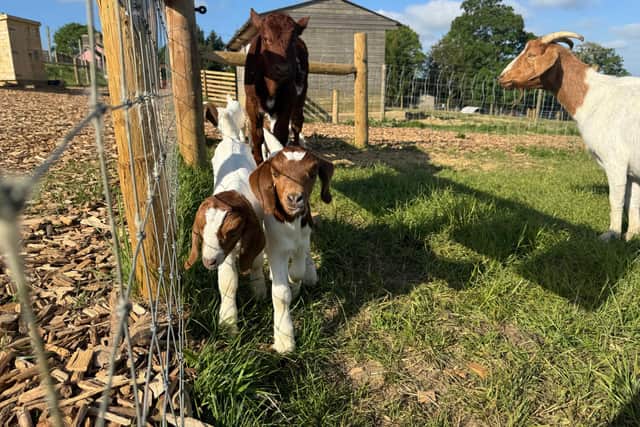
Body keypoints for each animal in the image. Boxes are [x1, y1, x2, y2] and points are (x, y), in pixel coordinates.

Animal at [185, 98, 266, 332]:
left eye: (232, 231)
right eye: (201, 232)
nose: (208, 261)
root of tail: (231, 138)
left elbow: (256, 261)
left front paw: (259, 291)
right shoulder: (225, 254)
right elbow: (228, 281)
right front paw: (228, 323)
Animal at [244, 8, 310, 165]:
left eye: (292, 40)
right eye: (266, 38)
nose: (283, 68)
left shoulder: (287, 101)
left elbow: (280, 134)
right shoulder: (251, 102)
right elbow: (257, 135)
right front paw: (259, 162)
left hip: (301, 95)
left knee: (297, 123)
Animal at [250, 142, 334, 353]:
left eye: (313, 173)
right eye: (275, 173)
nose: (295, 198)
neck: (291, 222)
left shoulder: (302, 241)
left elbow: (297, 272)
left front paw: (295, 285)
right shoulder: (276, 249)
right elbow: (280, 294)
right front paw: (284, 339)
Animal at [499, 31, 640, 241]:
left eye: (531, 54)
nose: (502, 77)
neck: (592, 97)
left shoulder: (615, 161)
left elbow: (616, 200)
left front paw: (611, 234)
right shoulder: (633, 170)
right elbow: (633, 202)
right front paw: (631, 236)